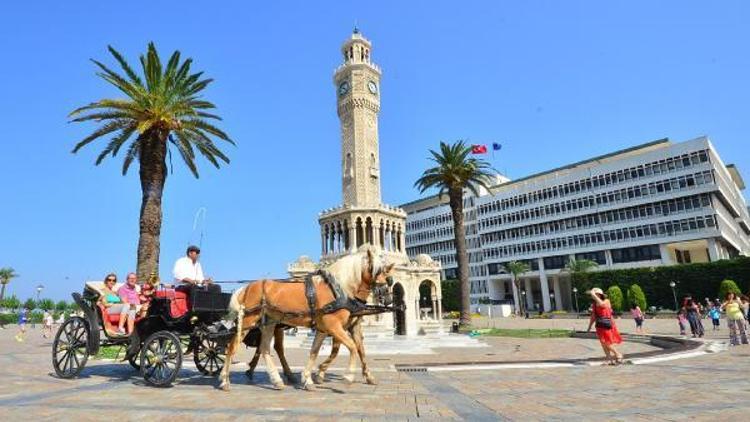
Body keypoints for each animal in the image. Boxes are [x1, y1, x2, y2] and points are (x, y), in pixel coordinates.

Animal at [220, 249, 394, 390]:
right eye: (376, 270)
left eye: (387, 275)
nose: (387, 297)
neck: (339, 289)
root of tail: (246, 287)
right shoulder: (334, 326)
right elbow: (351, 347)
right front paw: (348, 376)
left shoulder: (327, 328)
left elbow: (316, 351)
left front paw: (309, 379)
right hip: (248, 322)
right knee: (233, 346)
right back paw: (225, 380)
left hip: (270, 324)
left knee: (264, 349)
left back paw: (276, 379)